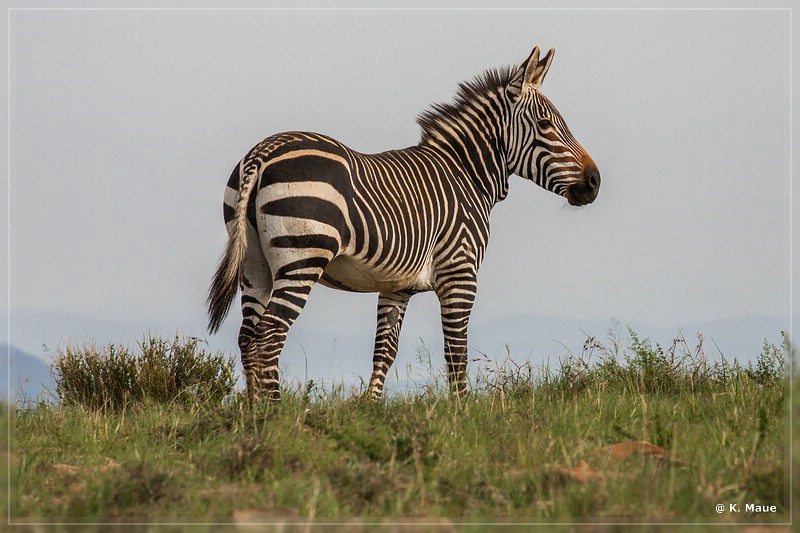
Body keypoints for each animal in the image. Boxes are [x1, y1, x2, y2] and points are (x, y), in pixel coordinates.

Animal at [208, 45, 600, 400]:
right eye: (545, 125)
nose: (594, 182)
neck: (466, 175)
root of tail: (263, 152)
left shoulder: (396, 285)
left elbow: (385, 350)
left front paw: (370, 408)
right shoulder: (460, 274)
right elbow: (456, 352)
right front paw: (462, 412)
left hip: (255, 264)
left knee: (248, 337)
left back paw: (253, 414)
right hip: (302, 258)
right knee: (270, 336)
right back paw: (275, 413)